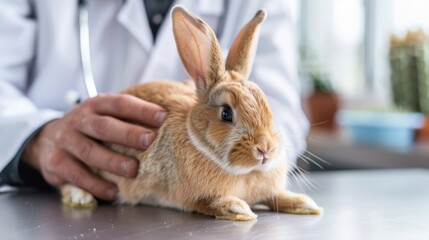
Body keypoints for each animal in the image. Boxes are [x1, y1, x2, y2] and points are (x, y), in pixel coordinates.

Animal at [61, 5, 320, 221]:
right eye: (226, 113)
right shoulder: (193, 197)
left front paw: (303, 203)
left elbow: (275, 196)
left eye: (267, 104)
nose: (265, 148)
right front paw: (236, 209)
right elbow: (208, 203)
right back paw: (80, 197)